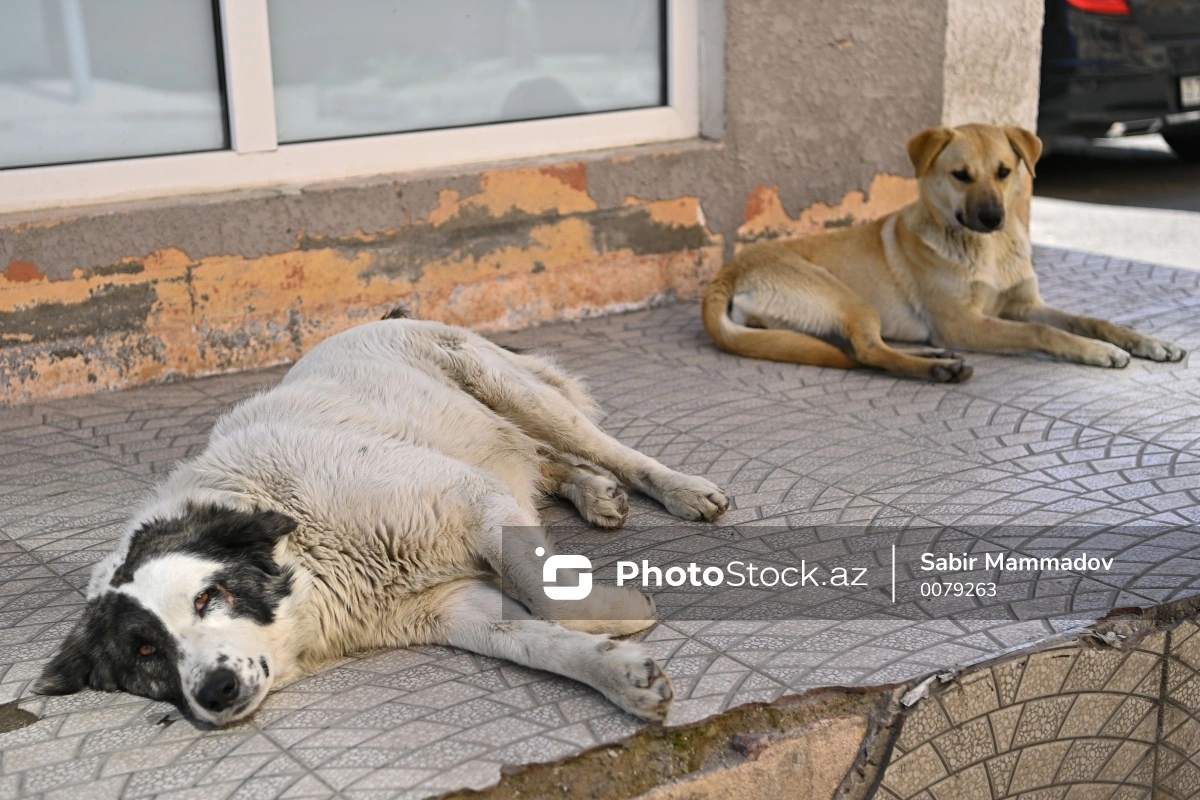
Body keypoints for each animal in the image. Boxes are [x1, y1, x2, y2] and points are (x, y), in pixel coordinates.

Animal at [37, 314, 724, 724]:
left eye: (208, 598)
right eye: (147, 651)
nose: (215, 692)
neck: (314, 556)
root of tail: (382, 315)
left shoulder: (470, 495)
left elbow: (547, 594)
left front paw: (614, 610)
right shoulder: (453, 608)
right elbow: (536, 641)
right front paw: (620, 674)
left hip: (510, 390)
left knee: (606, 448)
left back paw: (681, 489)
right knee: (544, 458)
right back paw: (592, 491)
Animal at [700, 122, 1180, 381]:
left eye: (1004, 171)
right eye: (960, 175)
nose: (992, 218)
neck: (987, 251)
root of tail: (728, 272)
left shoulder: (1023, 304)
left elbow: (1091, 319)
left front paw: (1148, 341)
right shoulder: (965, 323)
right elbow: (1042, 333)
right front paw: (1099, 352)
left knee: (864, 347)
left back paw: (933, 356)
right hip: (849, 298)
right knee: (868, 352)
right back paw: (937, 371)